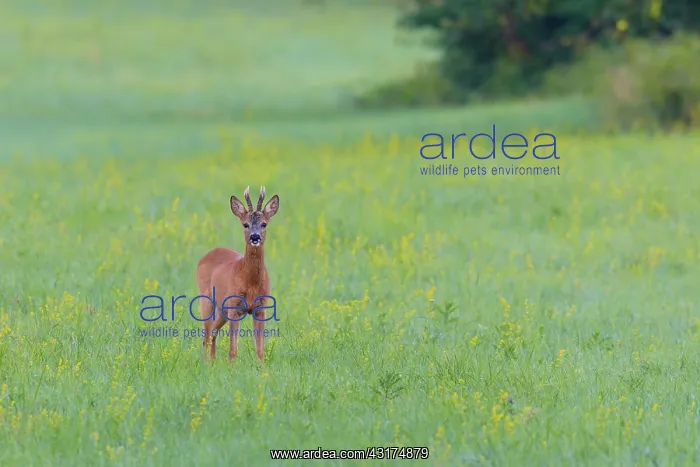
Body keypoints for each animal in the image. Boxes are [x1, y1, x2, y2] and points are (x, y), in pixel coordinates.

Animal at [196, 186, 279, 363]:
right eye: (245, 224)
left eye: (264, 224)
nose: (255, 237)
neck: (251, 283)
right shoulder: (234, 307)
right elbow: (233, 350)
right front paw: (231, 367)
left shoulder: (261, 308)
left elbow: (260, 350)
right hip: (206, 300)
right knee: (206, 335)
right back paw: (206, 363)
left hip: (222, 309)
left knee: (213, 333)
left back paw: (212, 362)